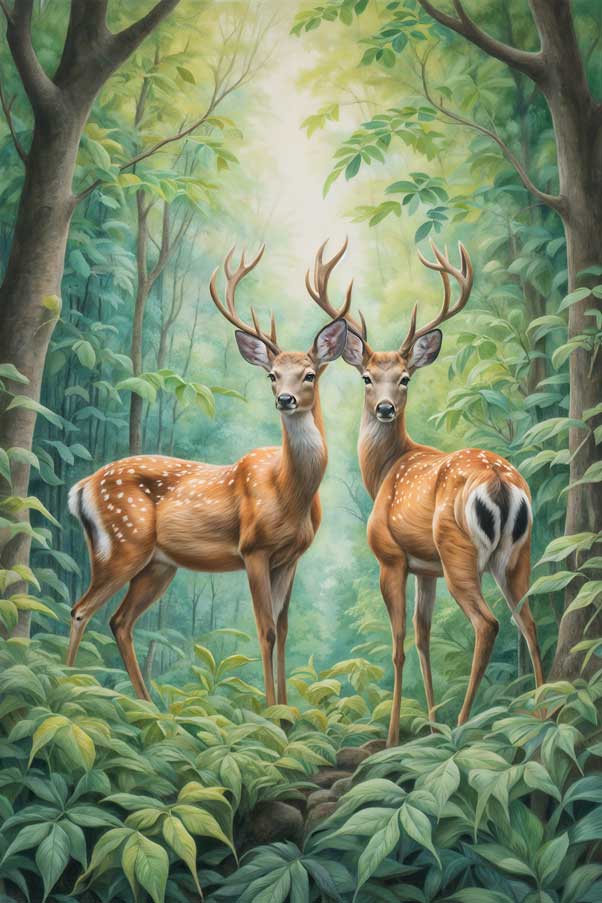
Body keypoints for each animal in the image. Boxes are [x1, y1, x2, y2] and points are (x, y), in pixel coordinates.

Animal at [67, 243, 350, 706]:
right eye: (272, 375)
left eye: (309, 374)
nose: (285, 399)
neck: (288, 492)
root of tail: (82, 487)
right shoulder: (253, 548)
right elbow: (266, 631)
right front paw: (270, 712)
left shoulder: (291, 557)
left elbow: (284, 630)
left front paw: (288, 712)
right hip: (122, 545)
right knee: (81, 610)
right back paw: (65, 687)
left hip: (157, 565)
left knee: (119, 621)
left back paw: (149, 706)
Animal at [308, 239, 544, 746]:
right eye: (367, 377)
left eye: (405, 378)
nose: (384, 408)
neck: (384, 471)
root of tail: (499, 481)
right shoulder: (425, 568)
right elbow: (422, 638)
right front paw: (428, 722)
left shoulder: (391, 557)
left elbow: (398, 646)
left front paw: (395, 736)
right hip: (517, 553)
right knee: (529, 621)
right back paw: (542, 713)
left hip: (457, 549)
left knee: (489, 624)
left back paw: (462, 725)